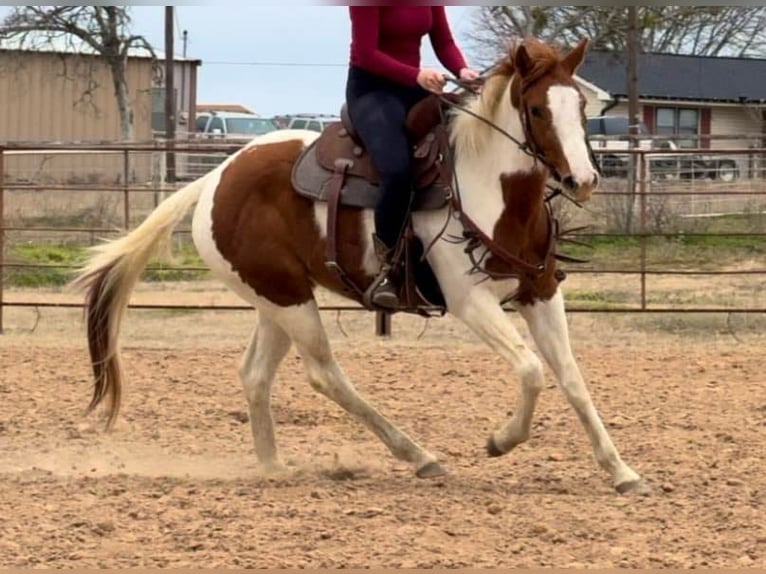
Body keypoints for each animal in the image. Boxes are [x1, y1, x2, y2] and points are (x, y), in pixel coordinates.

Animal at [73, 37, 649, 495]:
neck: (492, 190)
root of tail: (215, 177)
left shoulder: (541, 292)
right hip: (290, 301)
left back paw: (274, 466)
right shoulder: (470, 301)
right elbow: (531, 370)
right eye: (536, 110)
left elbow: (571, 378)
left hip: (274, 298)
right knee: (326, 375)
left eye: (580, 105)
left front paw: (621, 472)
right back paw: (418, 455)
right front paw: (500, 441)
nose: (583, 180)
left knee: (255, 373)